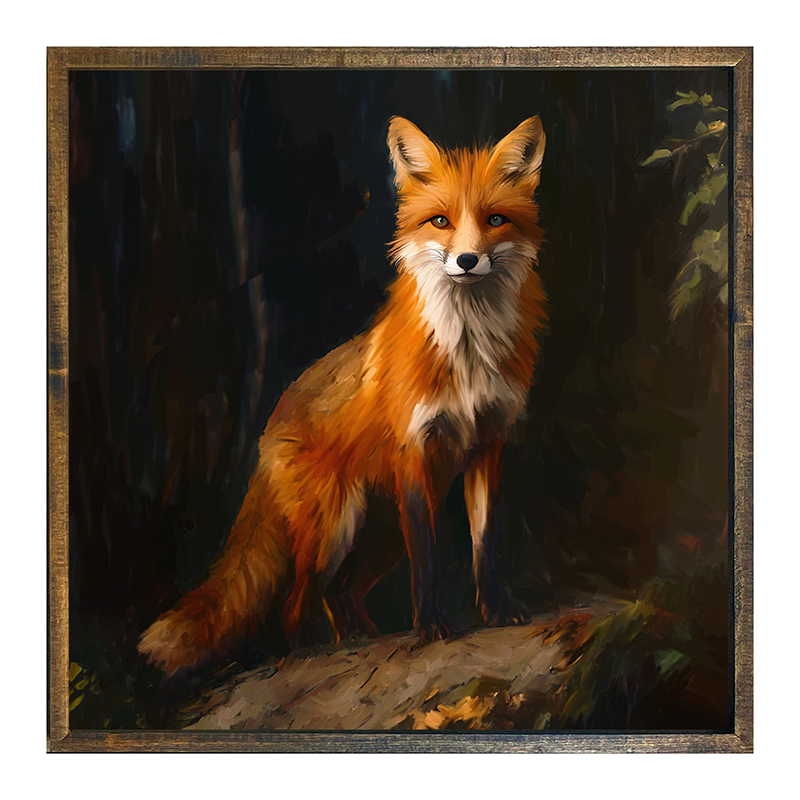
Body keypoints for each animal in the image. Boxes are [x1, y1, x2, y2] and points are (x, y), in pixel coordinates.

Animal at [138, 115, 548, 676]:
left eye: (496, 219)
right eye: (440, 221)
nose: (467, 260)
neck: (468, 350)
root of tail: (270, 424)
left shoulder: (489, 444)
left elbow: (485, 545)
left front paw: (497, 612)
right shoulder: (416, 453)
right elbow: (429, 560)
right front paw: (431, 627)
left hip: (380, 534)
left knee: (342, 595)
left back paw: (360, 641)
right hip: (336, 526)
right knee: (296, 604)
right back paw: (312, 652)